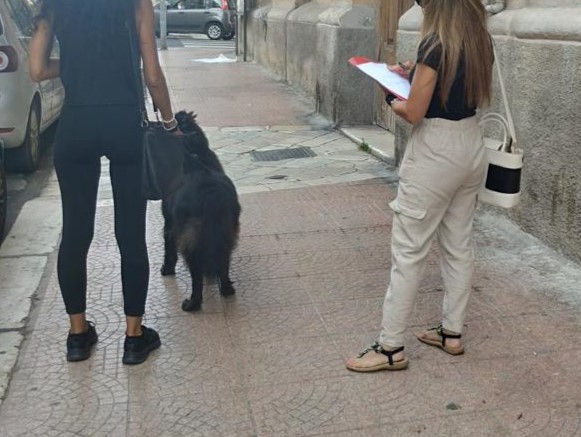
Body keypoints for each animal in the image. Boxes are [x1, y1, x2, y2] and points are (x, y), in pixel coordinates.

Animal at [160, 110, 239, 312]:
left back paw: (192, 303)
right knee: (223, 261)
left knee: (196, 275)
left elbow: (169, 249)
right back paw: (226, 289)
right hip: (227, 231)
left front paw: (166, 269)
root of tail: (209, 191)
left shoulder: (169, 225)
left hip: (190, 238)